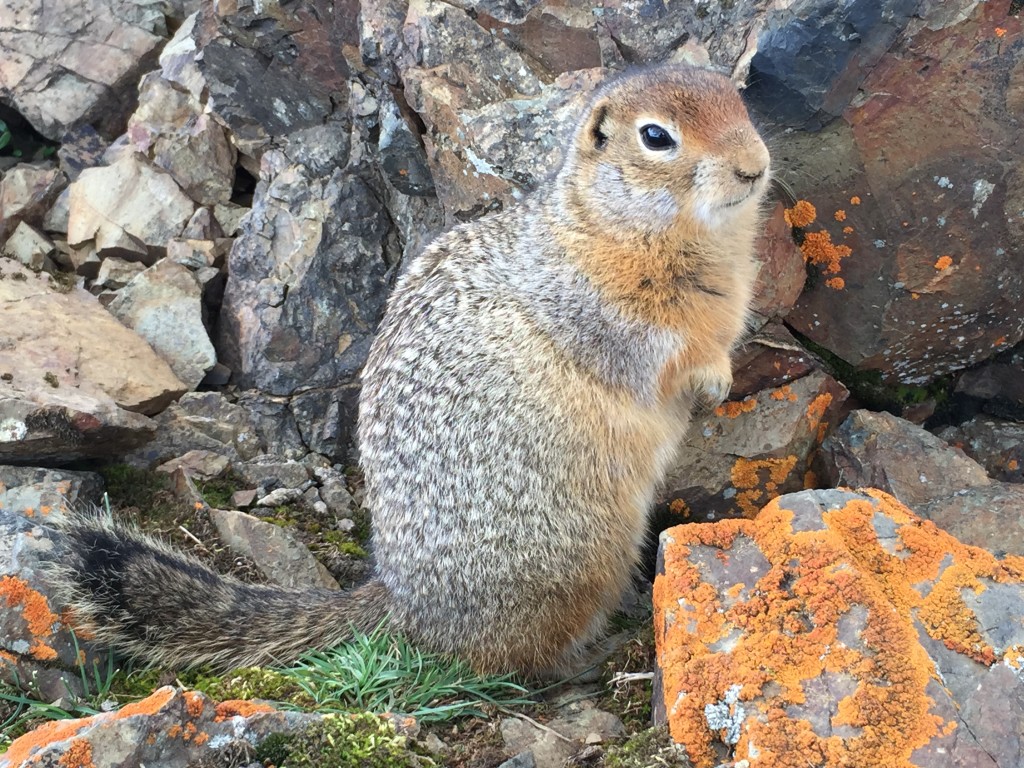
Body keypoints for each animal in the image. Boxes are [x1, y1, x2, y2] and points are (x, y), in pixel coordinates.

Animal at [49, 66, 770, 679]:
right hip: (571, 560)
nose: (755, 167)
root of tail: (401, 599)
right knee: (509, 660)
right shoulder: (602, 309)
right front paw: (710, 379)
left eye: (738, 99)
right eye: (656, 137)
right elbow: (656, 351)